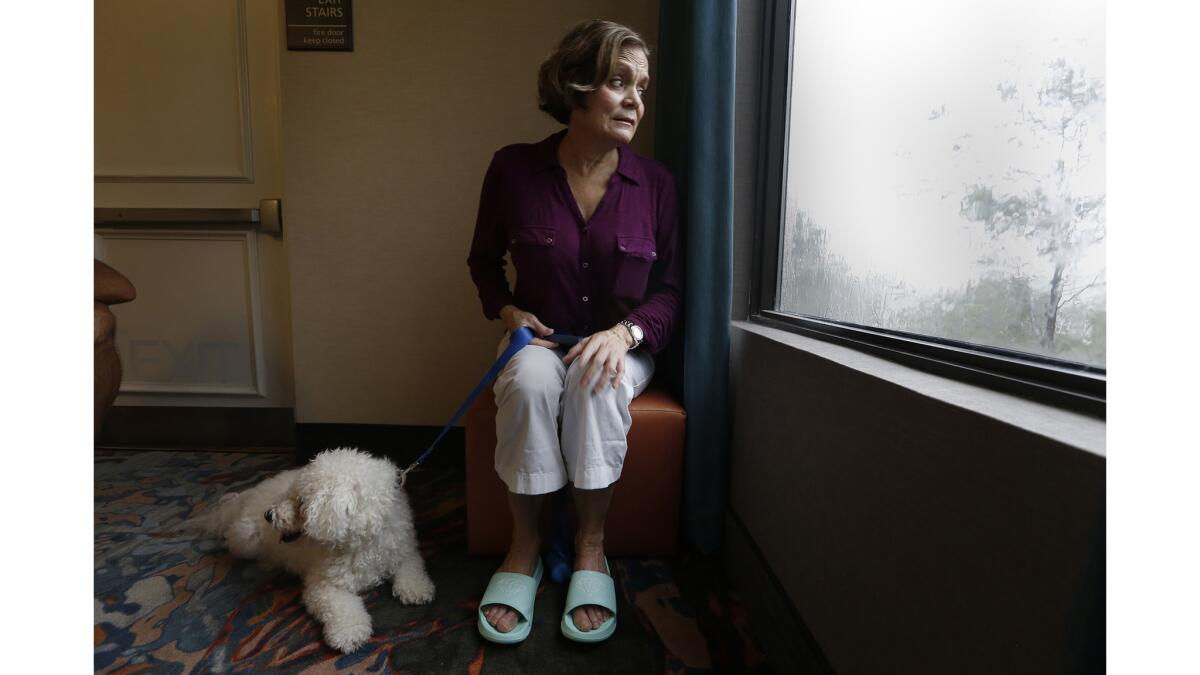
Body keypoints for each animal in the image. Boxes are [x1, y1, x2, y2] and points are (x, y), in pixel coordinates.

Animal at [194, 446, 439, 653]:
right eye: (291, 496)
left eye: (302, 502)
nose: (268, 515)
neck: (361, 544)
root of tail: (248, 494)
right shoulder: (323, 586)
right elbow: (342, 607)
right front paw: (348, 632)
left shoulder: (403, 551)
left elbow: (412, 568)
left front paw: (415, 589)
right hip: (246, 538)